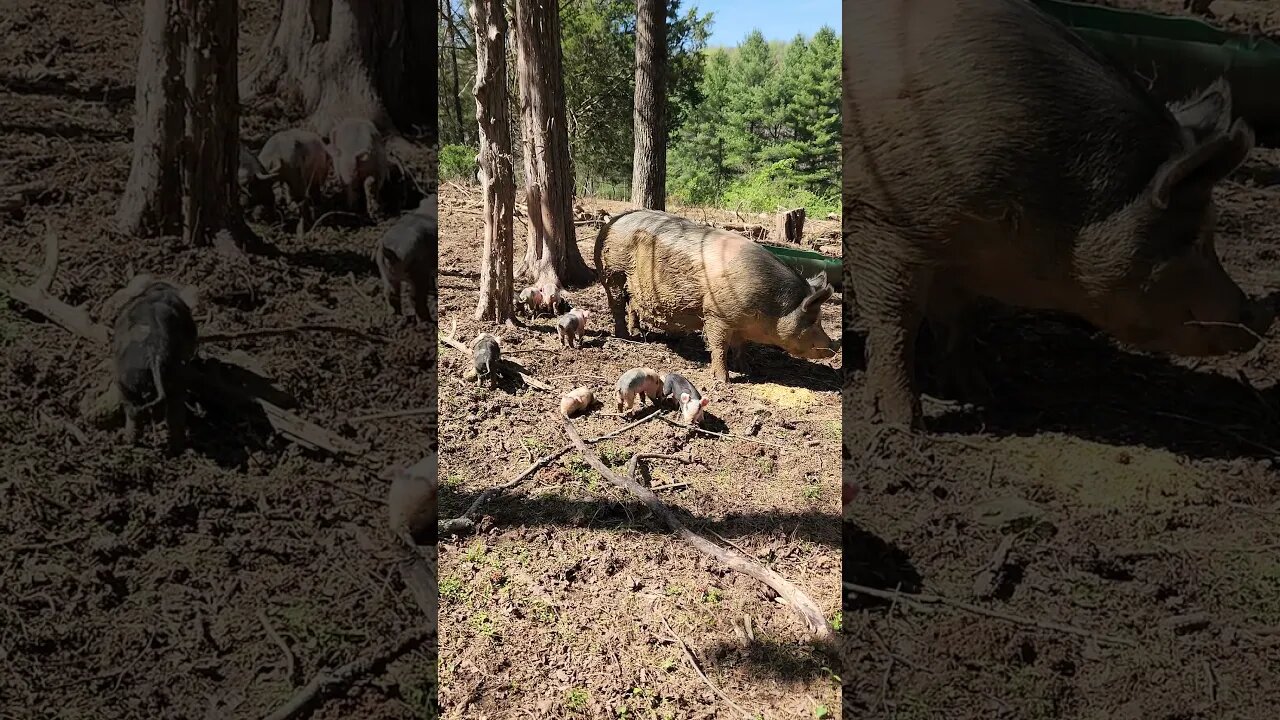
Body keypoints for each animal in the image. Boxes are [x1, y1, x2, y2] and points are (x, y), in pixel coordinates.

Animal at [596, 208, 839, 381]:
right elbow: (719, 347)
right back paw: (626, 337)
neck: (770, 306)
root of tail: (611, 220)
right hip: (612, 272)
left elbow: (741, 346)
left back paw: (638, 333)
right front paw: (724, 380)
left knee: (632, 305)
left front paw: (749, 370)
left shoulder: (739, 323)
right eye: (813, 320)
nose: (835, 347)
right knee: (617, 303)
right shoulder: (716, 314)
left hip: (633, 284)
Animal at [844, 0, 1274, 425]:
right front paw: (902, 422)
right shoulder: (882, 220)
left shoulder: (954, 252)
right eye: (1197, 237)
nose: (1260, 318)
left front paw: (982, 392)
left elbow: (957, 318)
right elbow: (896, 319)